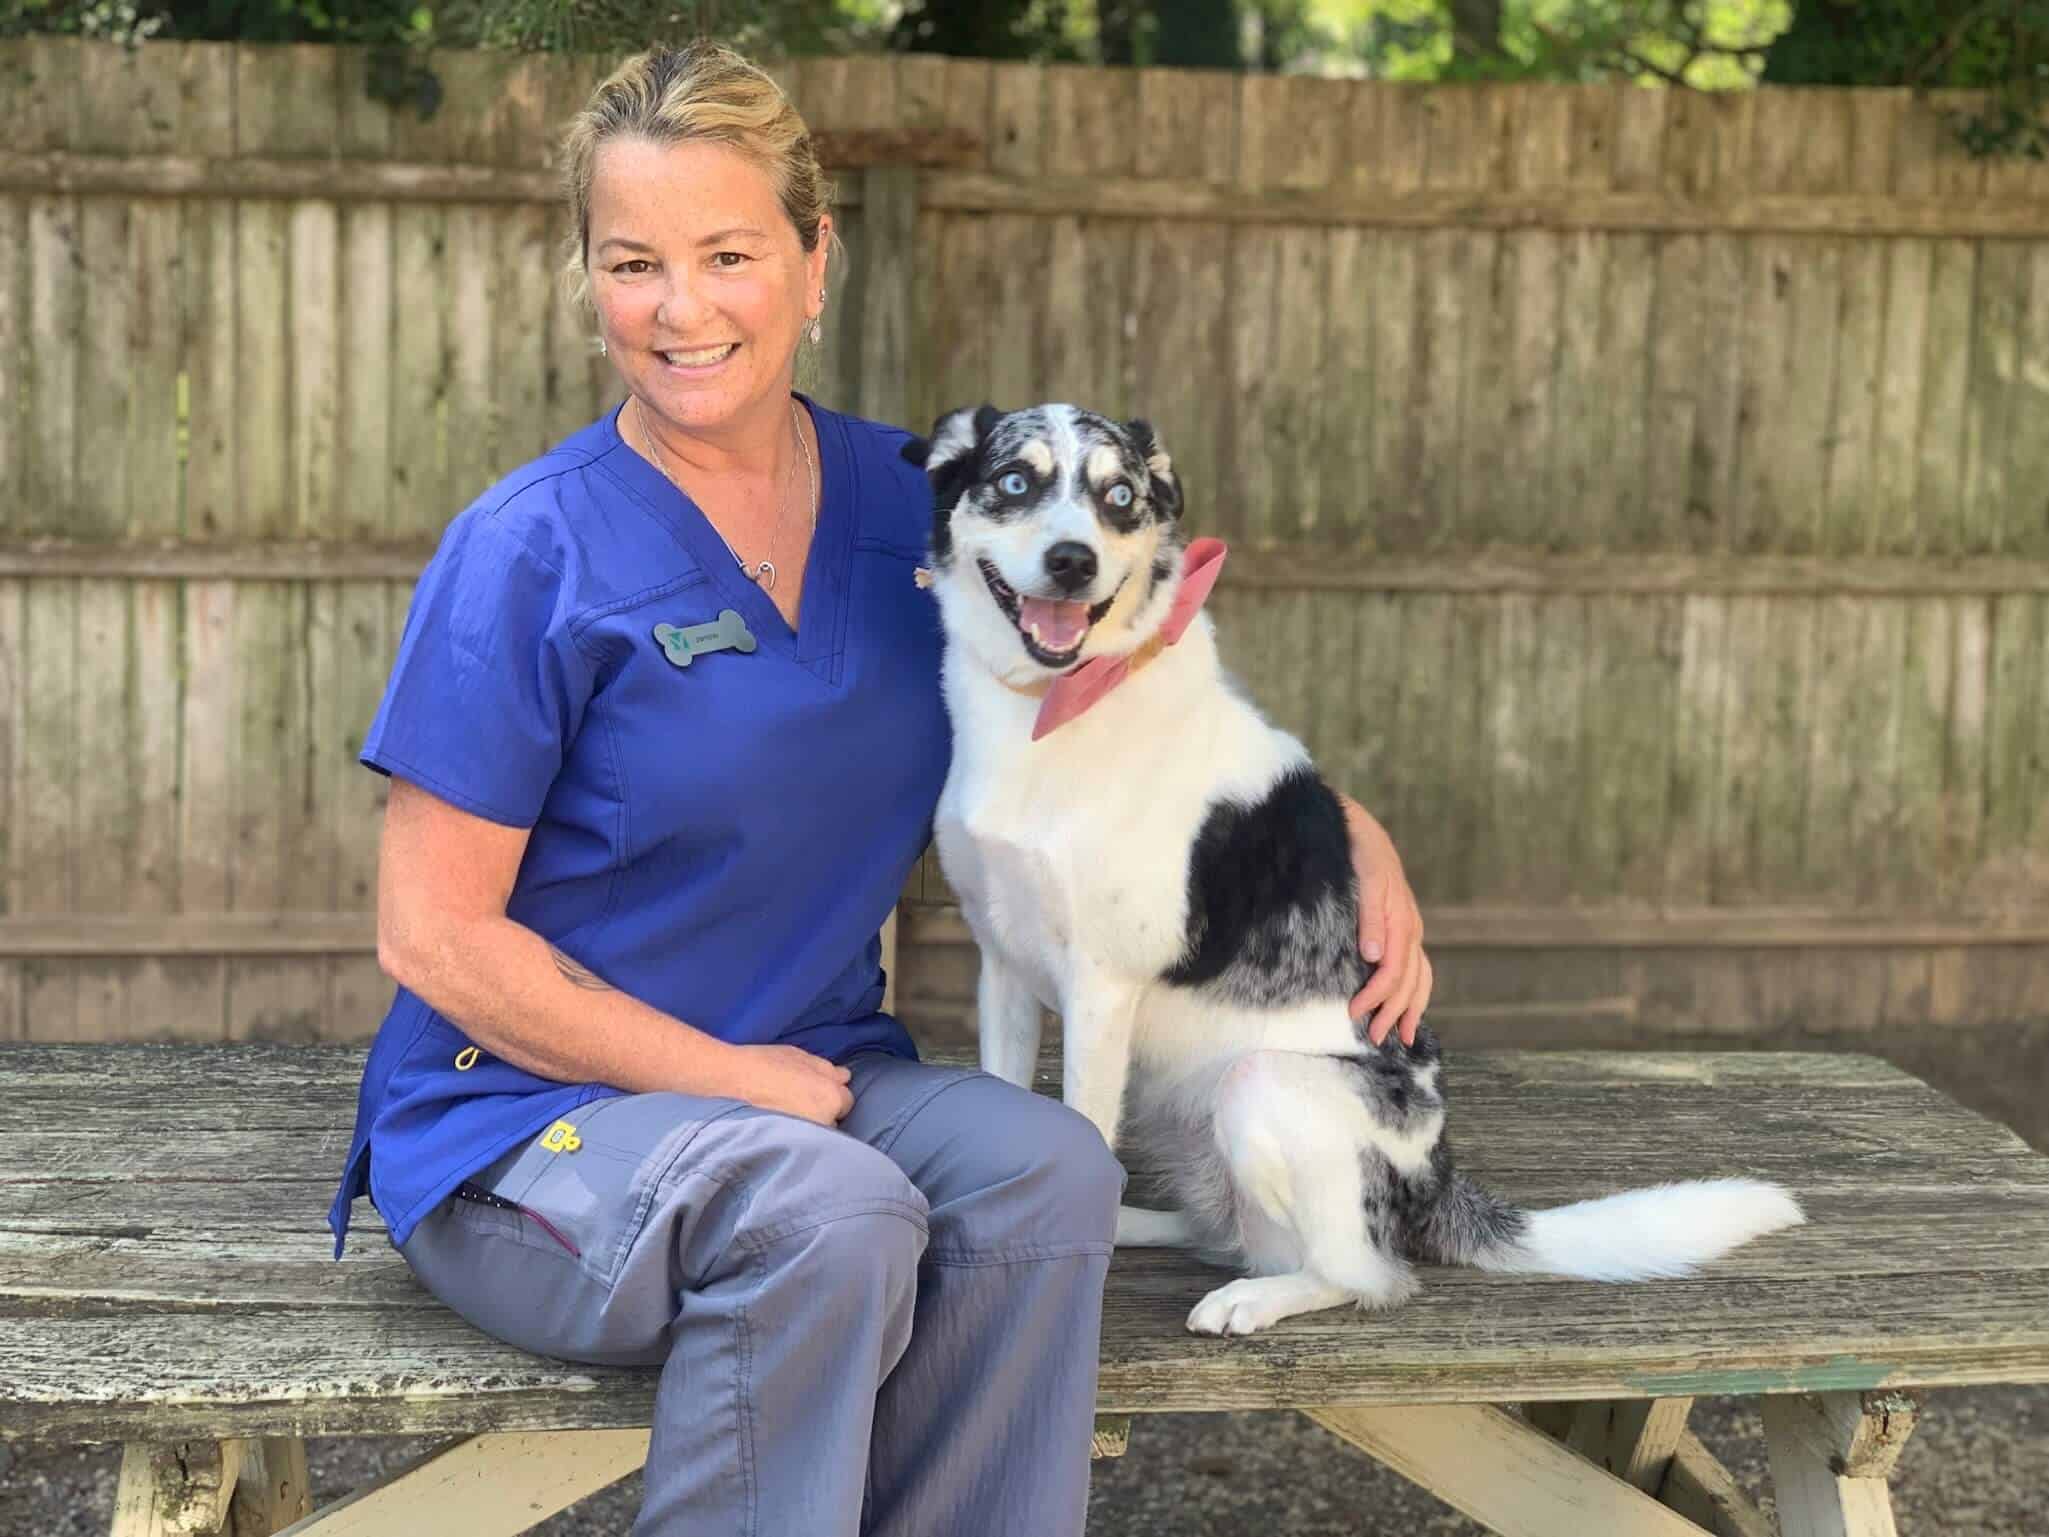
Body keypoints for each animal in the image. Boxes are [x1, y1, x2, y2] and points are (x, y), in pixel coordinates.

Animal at [905, 405, 1803, 1336]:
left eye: (1118, 497)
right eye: (1015, 480)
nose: (1071, 561)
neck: (1048, 710)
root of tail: (1438, 1184)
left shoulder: (1099, 988)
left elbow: (1078, 1126)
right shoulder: (1003, 968)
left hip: (1261, 1085)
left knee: (1360, 1271)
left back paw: (1255, 1295)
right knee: (1222, 1228)